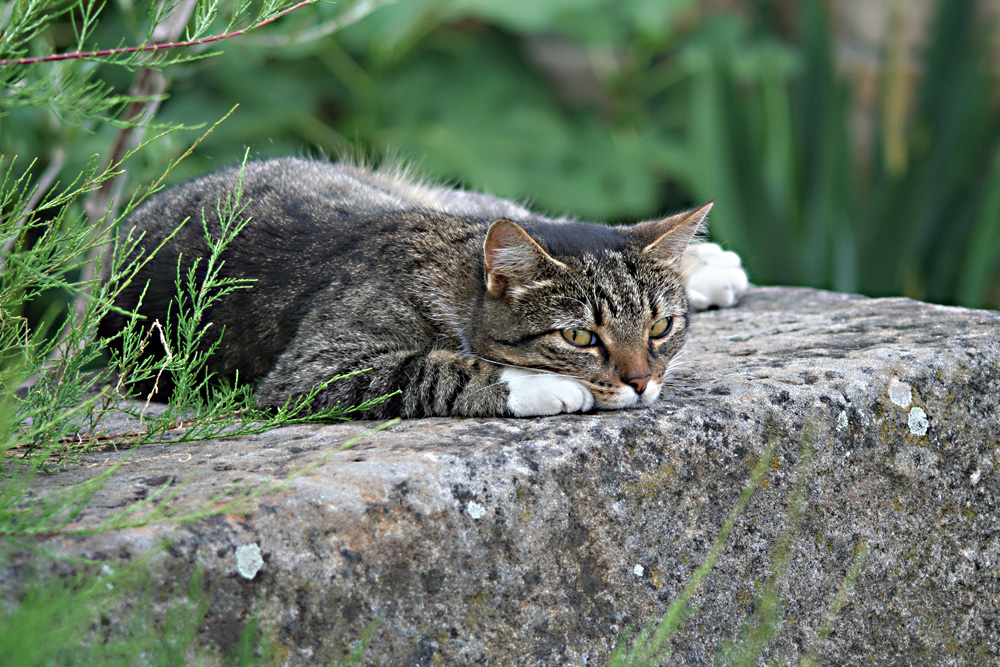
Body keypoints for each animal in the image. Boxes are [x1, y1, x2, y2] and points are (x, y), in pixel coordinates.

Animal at [101, 158, 748, 418]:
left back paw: (710, 266)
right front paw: (543, 387)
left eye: (661, 328)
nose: (640, 382)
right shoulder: (316, 368)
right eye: (579, 338)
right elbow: (432, 368)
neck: (457, 270)